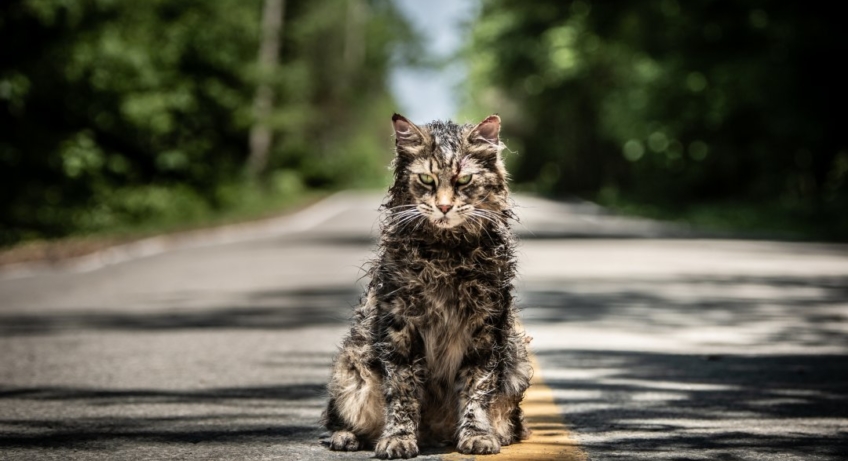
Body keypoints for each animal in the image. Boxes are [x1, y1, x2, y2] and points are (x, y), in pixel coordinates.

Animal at [322, 113, 528, 458]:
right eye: (427, 180)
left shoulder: (486, 327)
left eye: (463, 180)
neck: (446, 255)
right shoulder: (400, 327)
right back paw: (346, 437)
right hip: (351, 367)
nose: (444, 207)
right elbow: (403, 393)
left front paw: (477, 434)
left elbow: (476, 388)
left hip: (517, 363)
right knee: (340, 418)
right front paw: (398, 439)